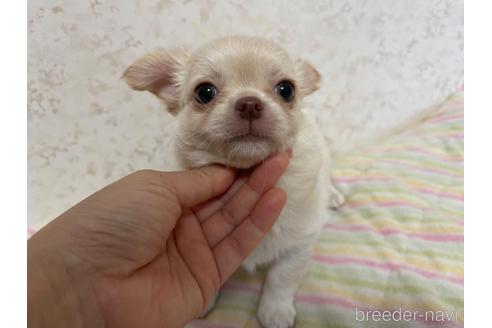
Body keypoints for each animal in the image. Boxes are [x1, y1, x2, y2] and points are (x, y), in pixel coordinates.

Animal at [125, 36, 344, 328]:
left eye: (286, 90)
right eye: (205, 92)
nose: (250, 103)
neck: (246, 171)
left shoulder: (302, 241)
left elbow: (282, 276)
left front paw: (275, 311)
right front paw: (205, 302)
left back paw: (334, 195)